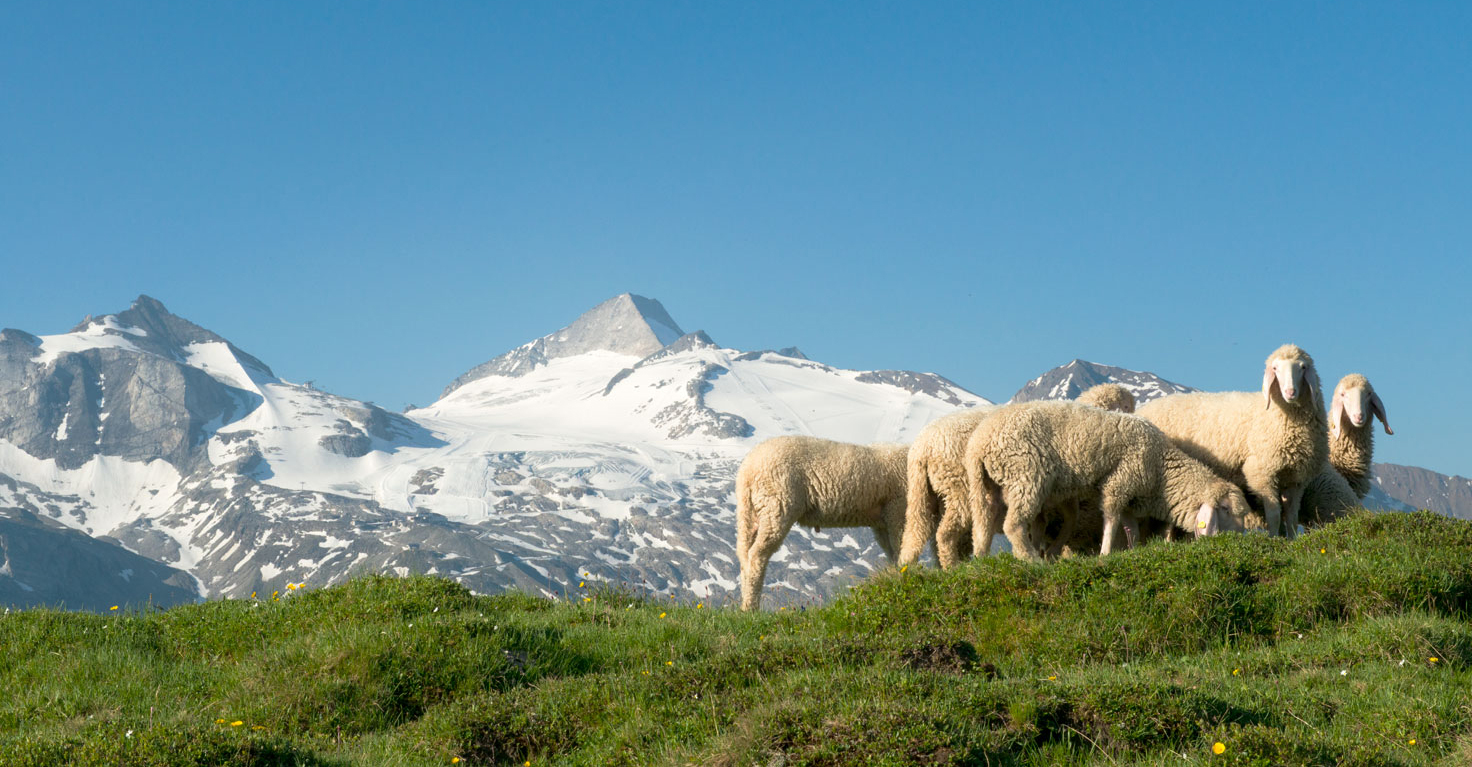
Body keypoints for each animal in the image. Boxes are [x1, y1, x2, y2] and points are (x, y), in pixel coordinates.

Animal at [736, 435, 906, 609]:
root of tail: (747, 470)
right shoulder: (898, 509)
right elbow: (901, 546)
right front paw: (904, 573)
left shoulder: (883, 521)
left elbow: (892, 552)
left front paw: (896, 574)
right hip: (777, 506)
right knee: (757, 555)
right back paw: (751, 607)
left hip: (750, 513)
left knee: (744, 555)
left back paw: (745, 603)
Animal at [889, 406, 995, 568]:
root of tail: (923, 448)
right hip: (958, 484)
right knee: (945, 532)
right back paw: (952, 566)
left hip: (920, 488)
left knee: (915, 530)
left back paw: (907, 565)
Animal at [965, 397, 1254, 559]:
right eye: (1225, 510)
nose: (1239, 540)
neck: (1160, 469)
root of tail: (980, 443)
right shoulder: (1120, 482)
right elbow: (1112, 520)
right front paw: (1105, 553)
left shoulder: (1131, 497)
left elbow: (1131, 529)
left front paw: (1132, 551)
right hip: (1025, 477)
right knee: (1013, 525)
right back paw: (1031, 559)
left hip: (985, 487)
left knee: (982, 526)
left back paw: (980, 561)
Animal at [1130, 344, 1330, 535]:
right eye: (1275, 368)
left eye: (1302, 367)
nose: (1290, 392)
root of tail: (1141, 411)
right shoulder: (1261, 472)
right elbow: (1274, 514)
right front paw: (1274, 538)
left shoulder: (1296, 478)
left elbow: (1291, 517)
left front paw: (1292, 539)